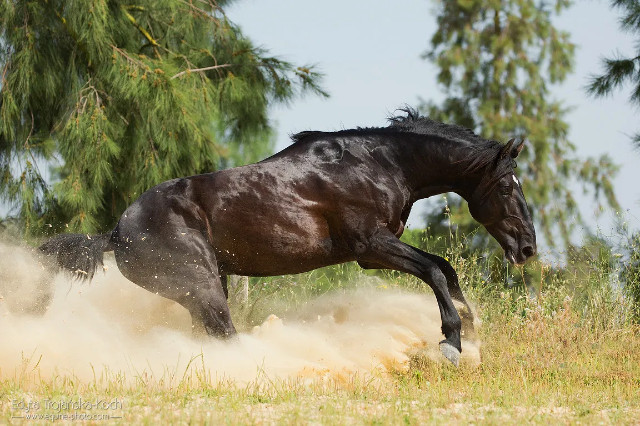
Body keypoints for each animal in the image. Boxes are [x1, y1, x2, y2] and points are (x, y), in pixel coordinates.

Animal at [39, 108, 536, 366]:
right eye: (506, 187)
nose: (527, 248)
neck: (379, 164)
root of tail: (114, 232)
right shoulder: (370, 247)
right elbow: (434, 269)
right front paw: (451, 343)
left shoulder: (378, 249)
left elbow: (445, 269)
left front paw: (473, 332)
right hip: (203, 287)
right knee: (225, 336)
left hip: (204, 289)